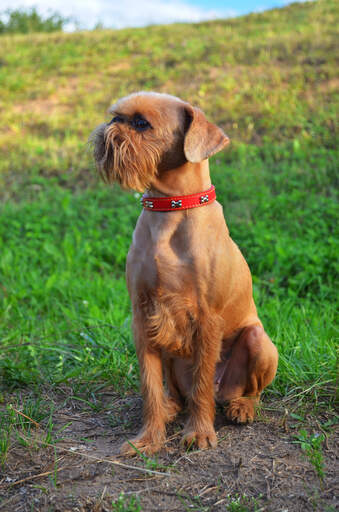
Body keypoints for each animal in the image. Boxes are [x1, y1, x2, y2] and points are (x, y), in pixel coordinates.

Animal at [91, 93, 278, 456]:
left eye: (140, 123)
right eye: (116, 116)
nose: (109, 128)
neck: (171, 207)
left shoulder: (207, 319)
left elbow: (202, 384)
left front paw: (200, 433)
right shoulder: (142, 317)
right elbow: (150, 386)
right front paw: (148, 438)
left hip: (260, 342)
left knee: (242, 391)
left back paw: (241, 407)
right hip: (171, 354)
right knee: (178, 394)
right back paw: (170, 408)